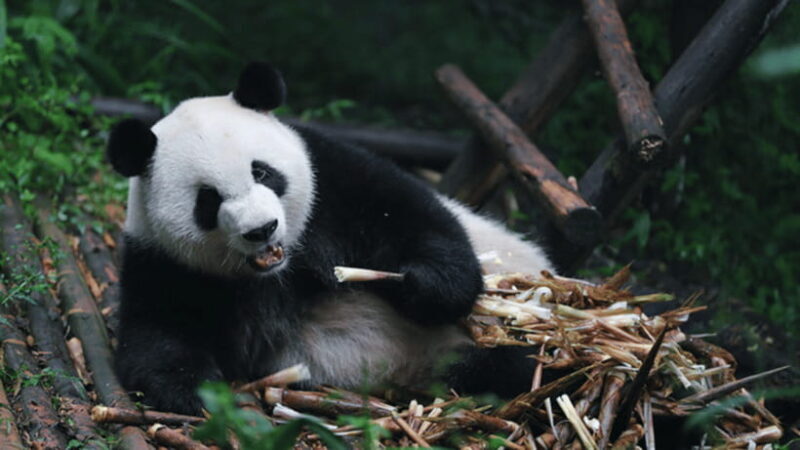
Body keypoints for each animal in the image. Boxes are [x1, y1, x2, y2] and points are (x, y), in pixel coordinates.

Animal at [108, 62, 554, 415]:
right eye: (208, 200)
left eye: (262, 172)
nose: (261, 229)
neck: (278, 273)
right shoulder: (164, 262)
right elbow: (158, 333)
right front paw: (198, 392)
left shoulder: (333, 181)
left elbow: (412, 218)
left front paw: (424, 285)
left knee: (531, 358)